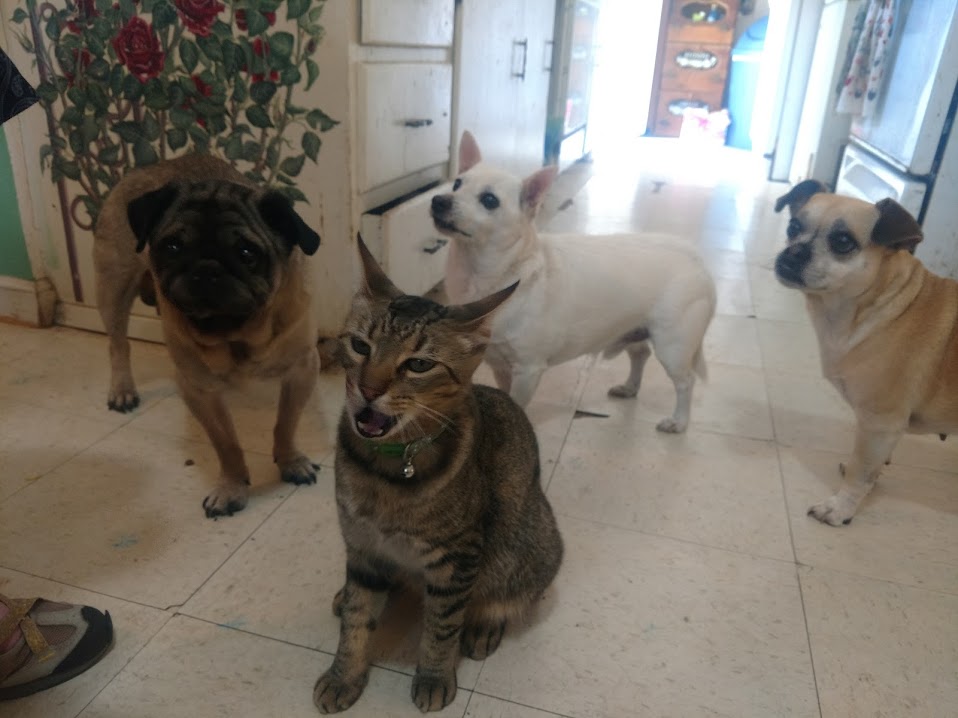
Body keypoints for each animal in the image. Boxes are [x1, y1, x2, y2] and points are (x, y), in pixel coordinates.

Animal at [93, 154, 322, 518]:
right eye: (172, 246)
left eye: (247, 253)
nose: (206, 269)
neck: (237, 334)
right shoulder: (200, 389)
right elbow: (226, 443)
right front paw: (231, 487)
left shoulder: (302, 369)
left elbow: (286, 423)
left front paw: (291, 462)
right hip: (113, 286)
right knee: (118, 345)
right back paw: (122, 390)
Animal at [313, 237, 563, 714]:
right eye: (359, 346)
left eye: (418, 365)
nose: (369, 390)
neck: (386, 471)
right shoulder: (362, 545)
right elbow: (357, 619)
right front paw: (343, 674)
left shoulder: (457, 559)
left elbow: (442, 627)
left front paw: (432, 676)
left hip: (522, 548)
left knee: (503, 596)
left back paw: (483, 626)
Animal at [429, 131, 716, 432]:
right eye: (457, 184)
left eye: (489, 200)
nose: (439, 200)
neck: (484, 275)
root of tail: (695, 258)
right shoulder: (500, 366)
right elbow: (505, 397)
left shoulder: (528, 370)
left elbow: (517, 404)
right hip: (635, 329)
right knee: (640, 354)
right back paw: (630, 387)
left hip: (672, 346)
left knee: (686, 382)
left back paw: (679, 421)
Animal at [773, 179, 958, 525]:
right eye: (793, 227)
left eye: (843, 242)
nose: (790, 253)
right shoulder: (884, 434)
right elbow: (872, 467)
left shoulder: (879, 424)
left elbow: (860, 472)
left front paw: (841, 507)